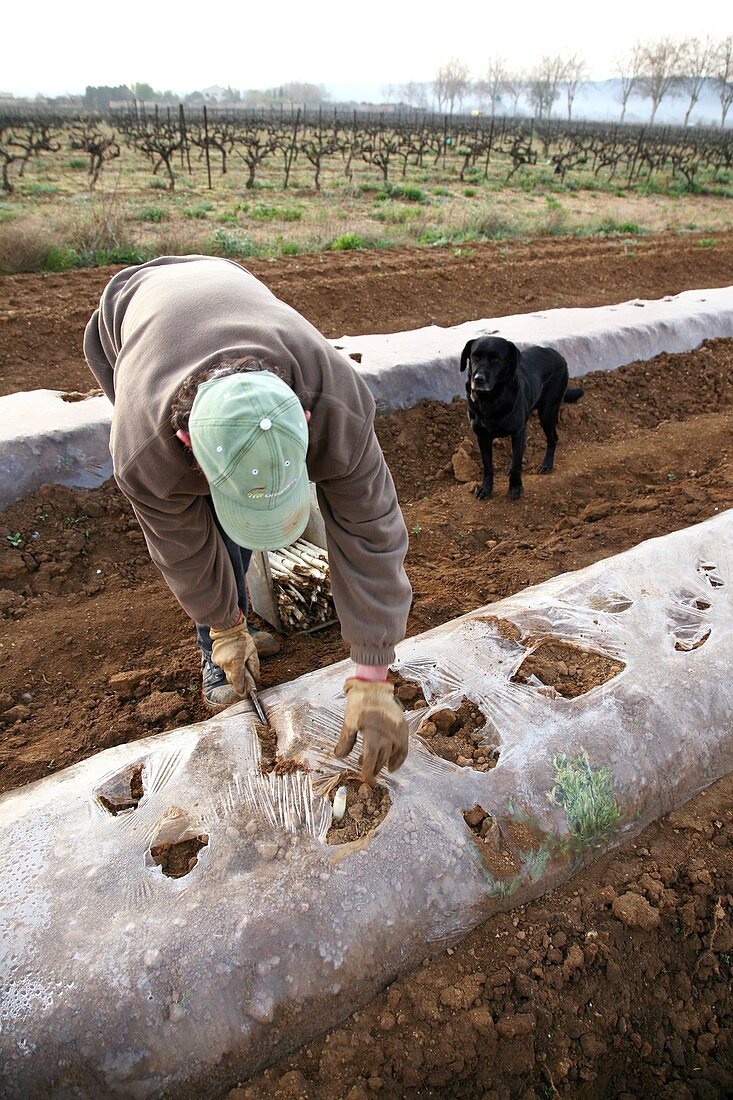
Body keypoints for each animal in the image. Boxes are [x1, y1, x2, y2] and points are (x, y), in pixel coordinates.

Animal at [457, 334, 581, 503]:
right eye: (475, 356)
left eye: (495, 359)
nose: (478, 379)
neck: (491, 398)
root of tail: (558, 354)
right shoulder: (482, 436)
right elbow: (488, 466)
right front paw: (485, 489)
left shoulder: (516, 432)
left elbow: (517, 465)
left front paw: (515, 488)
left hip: (547, 412)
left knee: (553, 439)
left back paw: (547, 465)